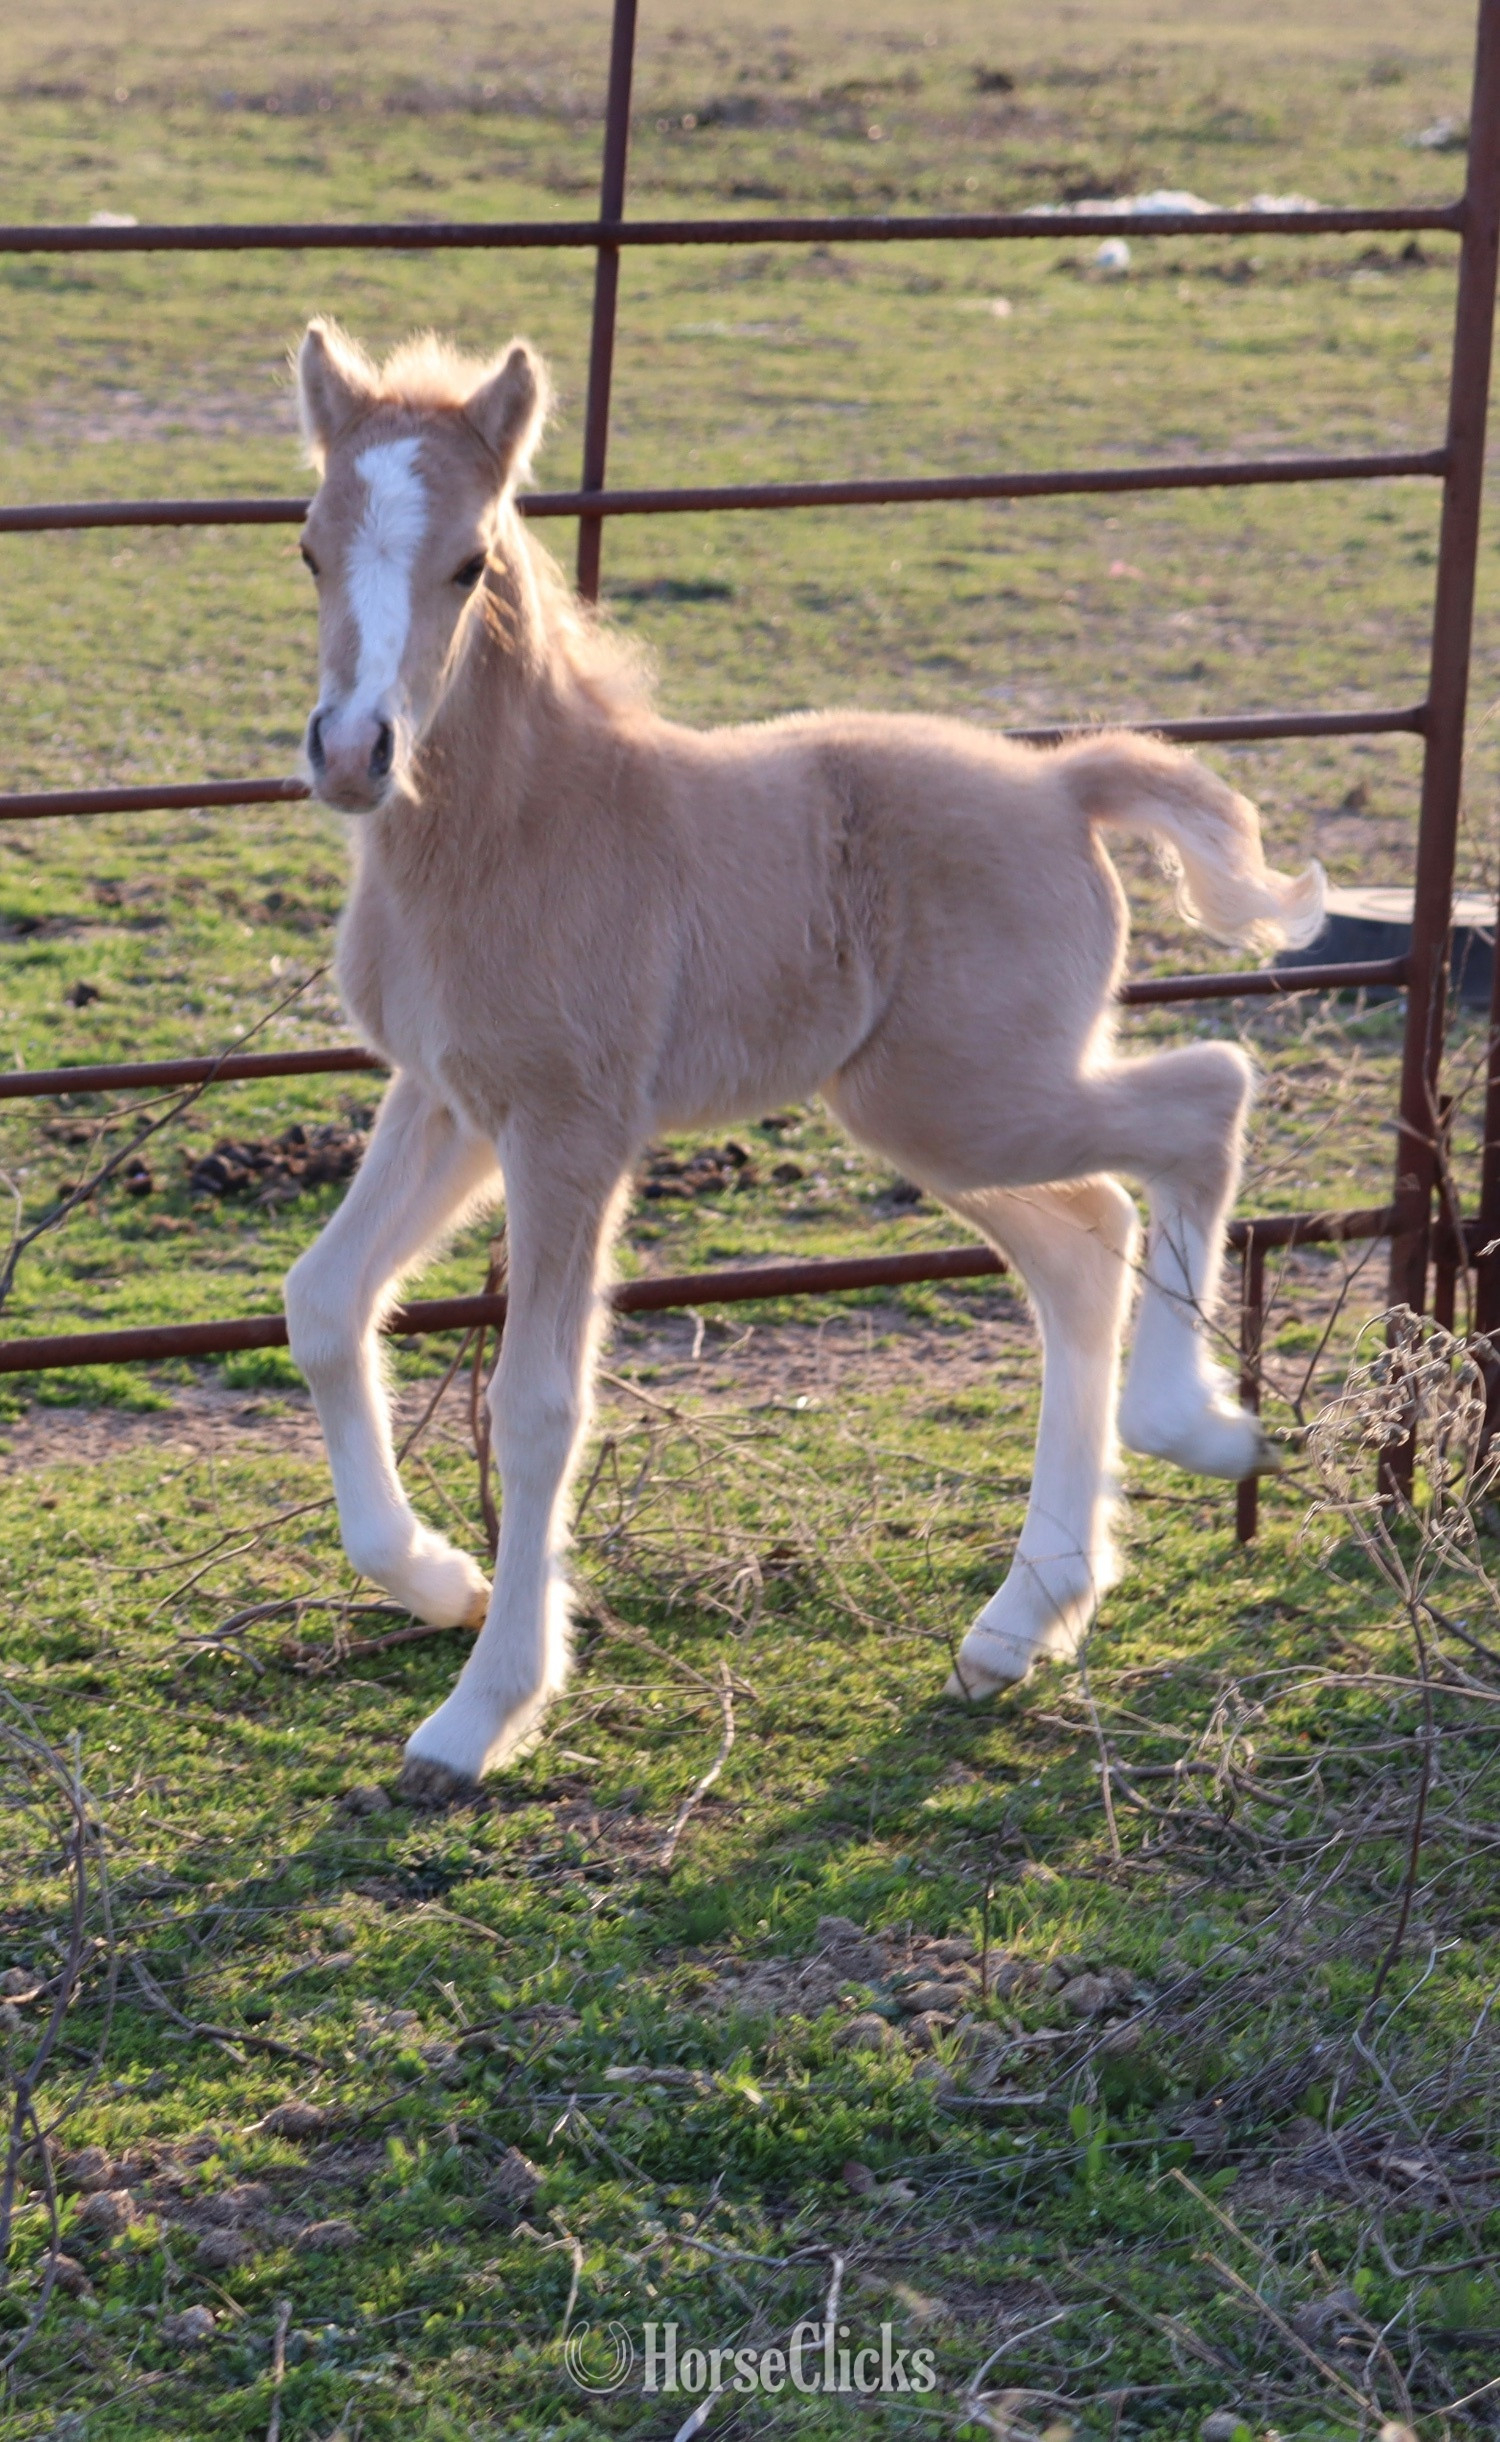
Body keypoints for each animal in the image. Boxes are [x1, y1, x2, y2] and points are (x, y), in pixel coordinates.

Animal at [284, 317, 1323, 1803]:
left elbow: (539, 1402)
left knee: (1204, 1099)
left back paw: (1203, 1429)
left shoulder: (570, 1126)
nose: (353, 752)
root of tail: (1063, 782)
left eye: (469, 561)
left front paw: (481, 1713)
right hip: (928, 1108)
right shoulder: (448, 1098)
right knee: (1083, 1238)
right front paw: (435, 1577)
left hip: (965, 1099)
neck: (513, 830)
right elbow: (322, 1301)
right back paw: (1022, 1621)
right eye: (311, 545)